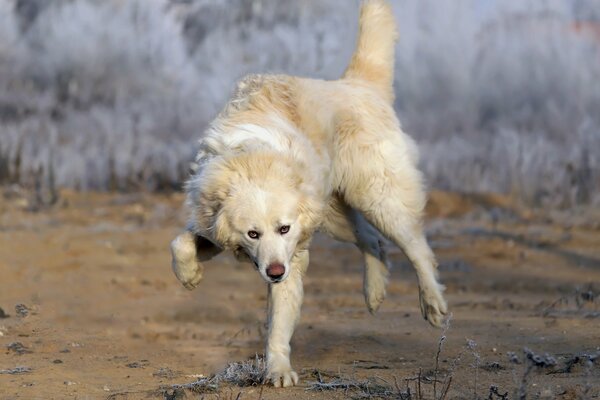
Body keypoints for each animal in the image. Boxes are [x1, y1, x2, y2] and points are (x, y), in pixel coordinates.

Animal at [169, 0, 446, 388]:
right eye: (252, 234)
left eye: (283, 228)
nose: (274, 272)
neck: (254, 162)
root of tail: (356, 85)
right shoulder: (216, 229)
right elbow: (180, 243)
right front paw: (189, 276)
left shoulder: (294, 254)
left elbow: (278, 325)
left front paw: (277, 370)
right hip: (333, 217)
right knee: (373, 241)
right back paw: (374, 292)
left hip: (377, 199)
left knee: (416, 247)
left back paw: (431, 303)